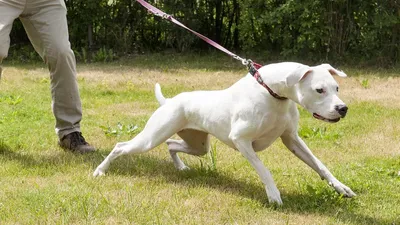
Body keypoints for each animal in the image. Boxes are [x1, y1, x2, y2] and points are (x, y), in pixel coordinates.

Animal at [94, 62, 356, 206]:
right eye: (319, 90)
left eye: (337, 88)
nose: (342, 108)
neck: (271, 93)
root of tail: (170, 101)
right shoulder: (242, 141)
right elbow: (264, 170)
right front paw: (274, 196)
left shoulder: (292, 139)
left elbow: (320, 165)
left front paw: (341, 187)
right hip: (150, 139)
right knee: (121, 146)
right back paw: (100, 171)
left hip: (198, 146)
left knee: (171, 144)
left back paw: (181, 167)